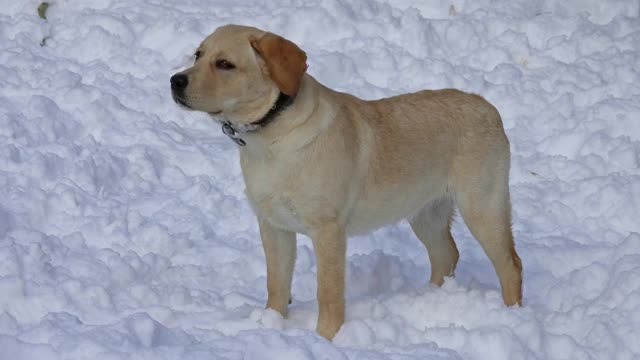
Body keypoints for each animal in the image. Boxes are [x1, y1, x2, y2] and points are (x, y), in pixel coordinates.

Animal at [172, 23, 524, 338]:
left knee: (511, 264)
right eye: (198, 54)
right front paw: (271, 324)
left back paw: (511, 316)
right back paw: (430, 300)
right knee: (446, 255)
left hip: (482, 207)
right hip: (425, 212)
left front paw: (326, 338)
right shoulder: (274, 226)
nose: (175, 80)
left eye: (225, 64)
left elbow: (328, 294)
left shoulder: (328, 230)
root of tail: (489, 107)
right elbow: (276, 283)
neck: (272, 137)